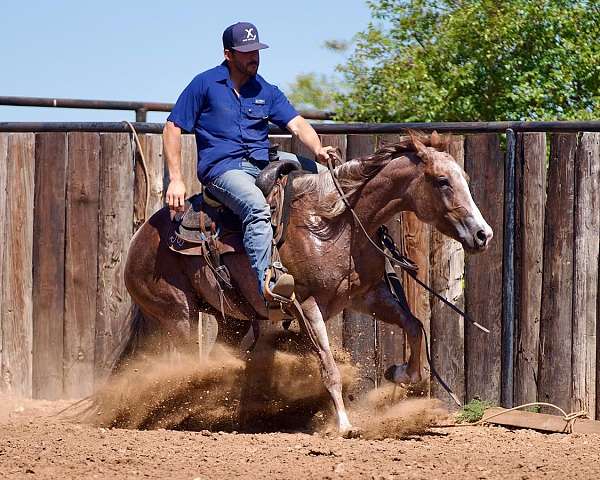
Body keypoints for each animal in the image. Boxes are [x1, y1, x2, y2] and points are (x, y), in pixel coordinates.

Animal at [118, 130, 492, 436]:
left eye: (464, 178)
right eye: (442, 181)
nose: (483, 234)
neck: (334, 223)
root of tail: (140, 236)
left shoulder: (369, 296)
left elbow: (414, 326)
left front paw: (400, 373)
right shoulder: (305, 304)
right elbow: (328, 366)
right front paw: (344, 425)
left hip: (230, 321)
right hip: (178, 315)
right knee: (180, 364)